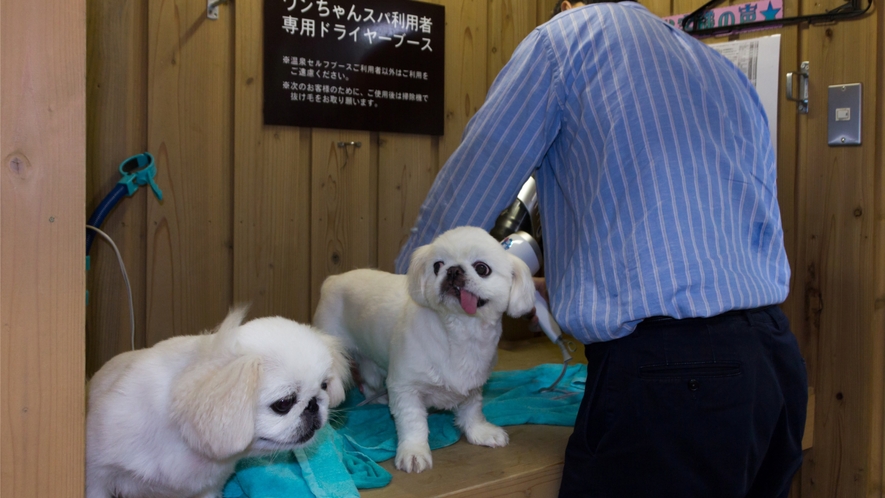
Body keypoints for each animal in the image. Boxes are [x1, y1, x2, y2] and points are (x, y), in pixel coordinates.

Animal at [85, 308, 348, 498]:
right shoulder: (96, 477)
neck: (183, 439)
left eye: (324, 386)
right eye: (284, 403)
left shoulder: (208, 489)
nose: (314, 404)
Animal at [312, 228, 532, 472]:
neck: (460, 332)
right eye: (438, 265)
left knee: (368, 382)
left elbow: (472, 411)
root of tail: (333, 280)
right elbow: (413, 422)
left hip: (373, 367)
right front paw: (414, 452)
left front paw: (479, 432)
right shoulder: (405, 388)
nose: (453, 270)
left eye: (482, 268)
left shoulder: (473, 386)